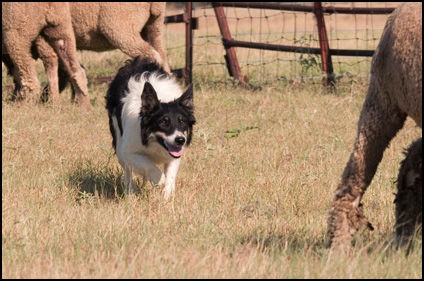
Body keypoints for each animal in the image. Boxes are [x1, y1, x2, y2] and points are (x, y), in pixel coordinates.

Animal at [106, 56, 195, 197]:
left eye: (182, 122)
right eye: (163, 122)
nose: (181, 140)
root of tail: (134, 62)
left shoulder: (174, 155)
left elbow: (170, 175)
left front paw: (167, 196)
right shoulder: (127, 151)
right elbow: (148, 165)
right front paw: (159, 180)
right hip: (118, 139)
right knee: (128, 171)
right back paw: (130, 192)